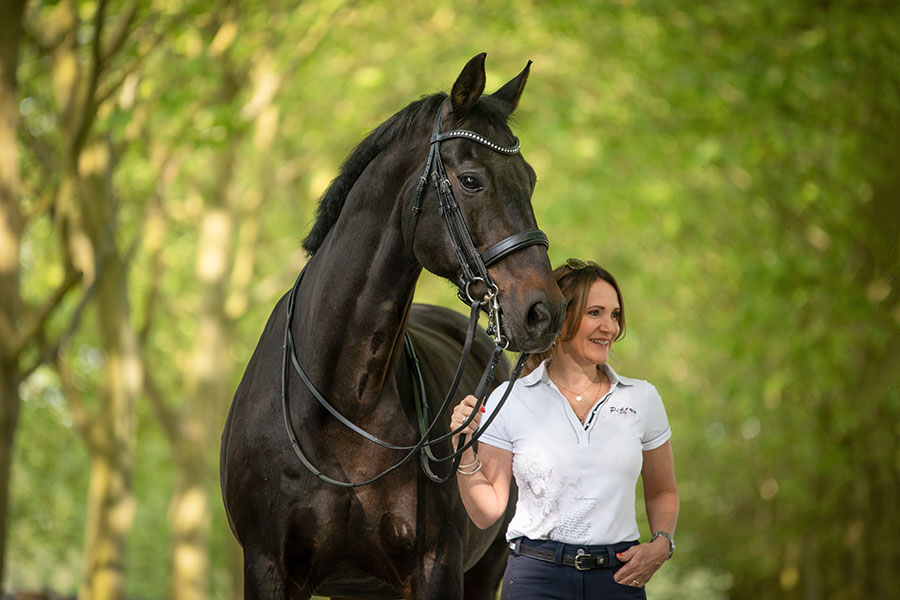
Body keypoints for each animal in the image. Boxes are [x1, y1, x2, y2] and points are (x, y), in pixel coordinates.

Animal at [220, 53, 566, 600]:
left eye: (529, 179)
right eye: (472, 179)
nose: (543, 312)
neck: (341, 408)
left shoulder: (436, 567)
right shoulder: (267, 567)